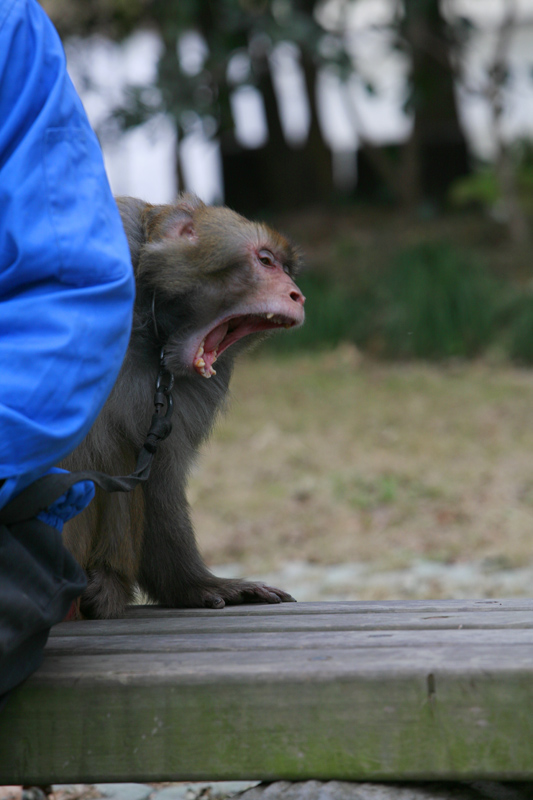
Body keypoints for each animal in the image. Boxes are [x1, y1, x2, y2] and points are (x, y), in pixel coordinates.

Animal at [59, 192, 304, 620]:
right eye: (266, 261)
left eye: (285, 267)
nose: (297, 294)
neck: (150, 324)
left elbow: (159, 474)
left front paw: (194, 585)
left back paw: (105, 584)